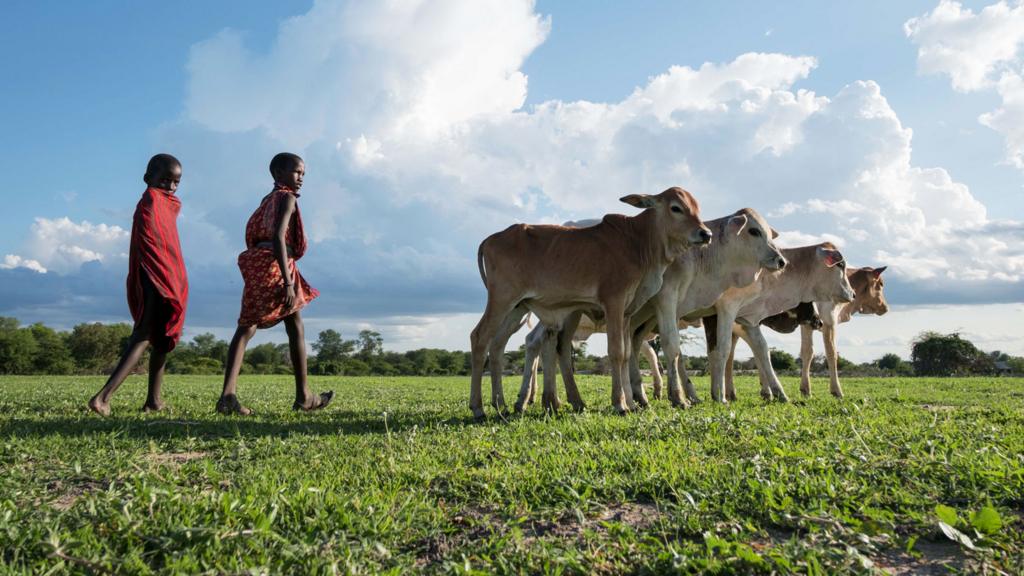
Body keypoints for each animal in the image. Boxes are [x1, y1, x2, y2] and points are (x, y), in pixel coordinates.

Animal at [468, 188, 708, 416]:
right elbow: (616, 351)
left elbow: (626, 353)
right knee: (479, 338)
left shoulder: (626, 312)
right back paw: (479, 408)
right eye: (676, 208)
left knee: (498, 345)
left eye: (697, 208)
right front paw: (620, 404)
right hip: (502, 300)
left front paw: (631, 403)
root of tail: (491, 239)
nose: (706, 233)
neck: (637, 241)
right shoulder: (614, 302)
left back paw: (501, 404)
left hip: (518, 307)